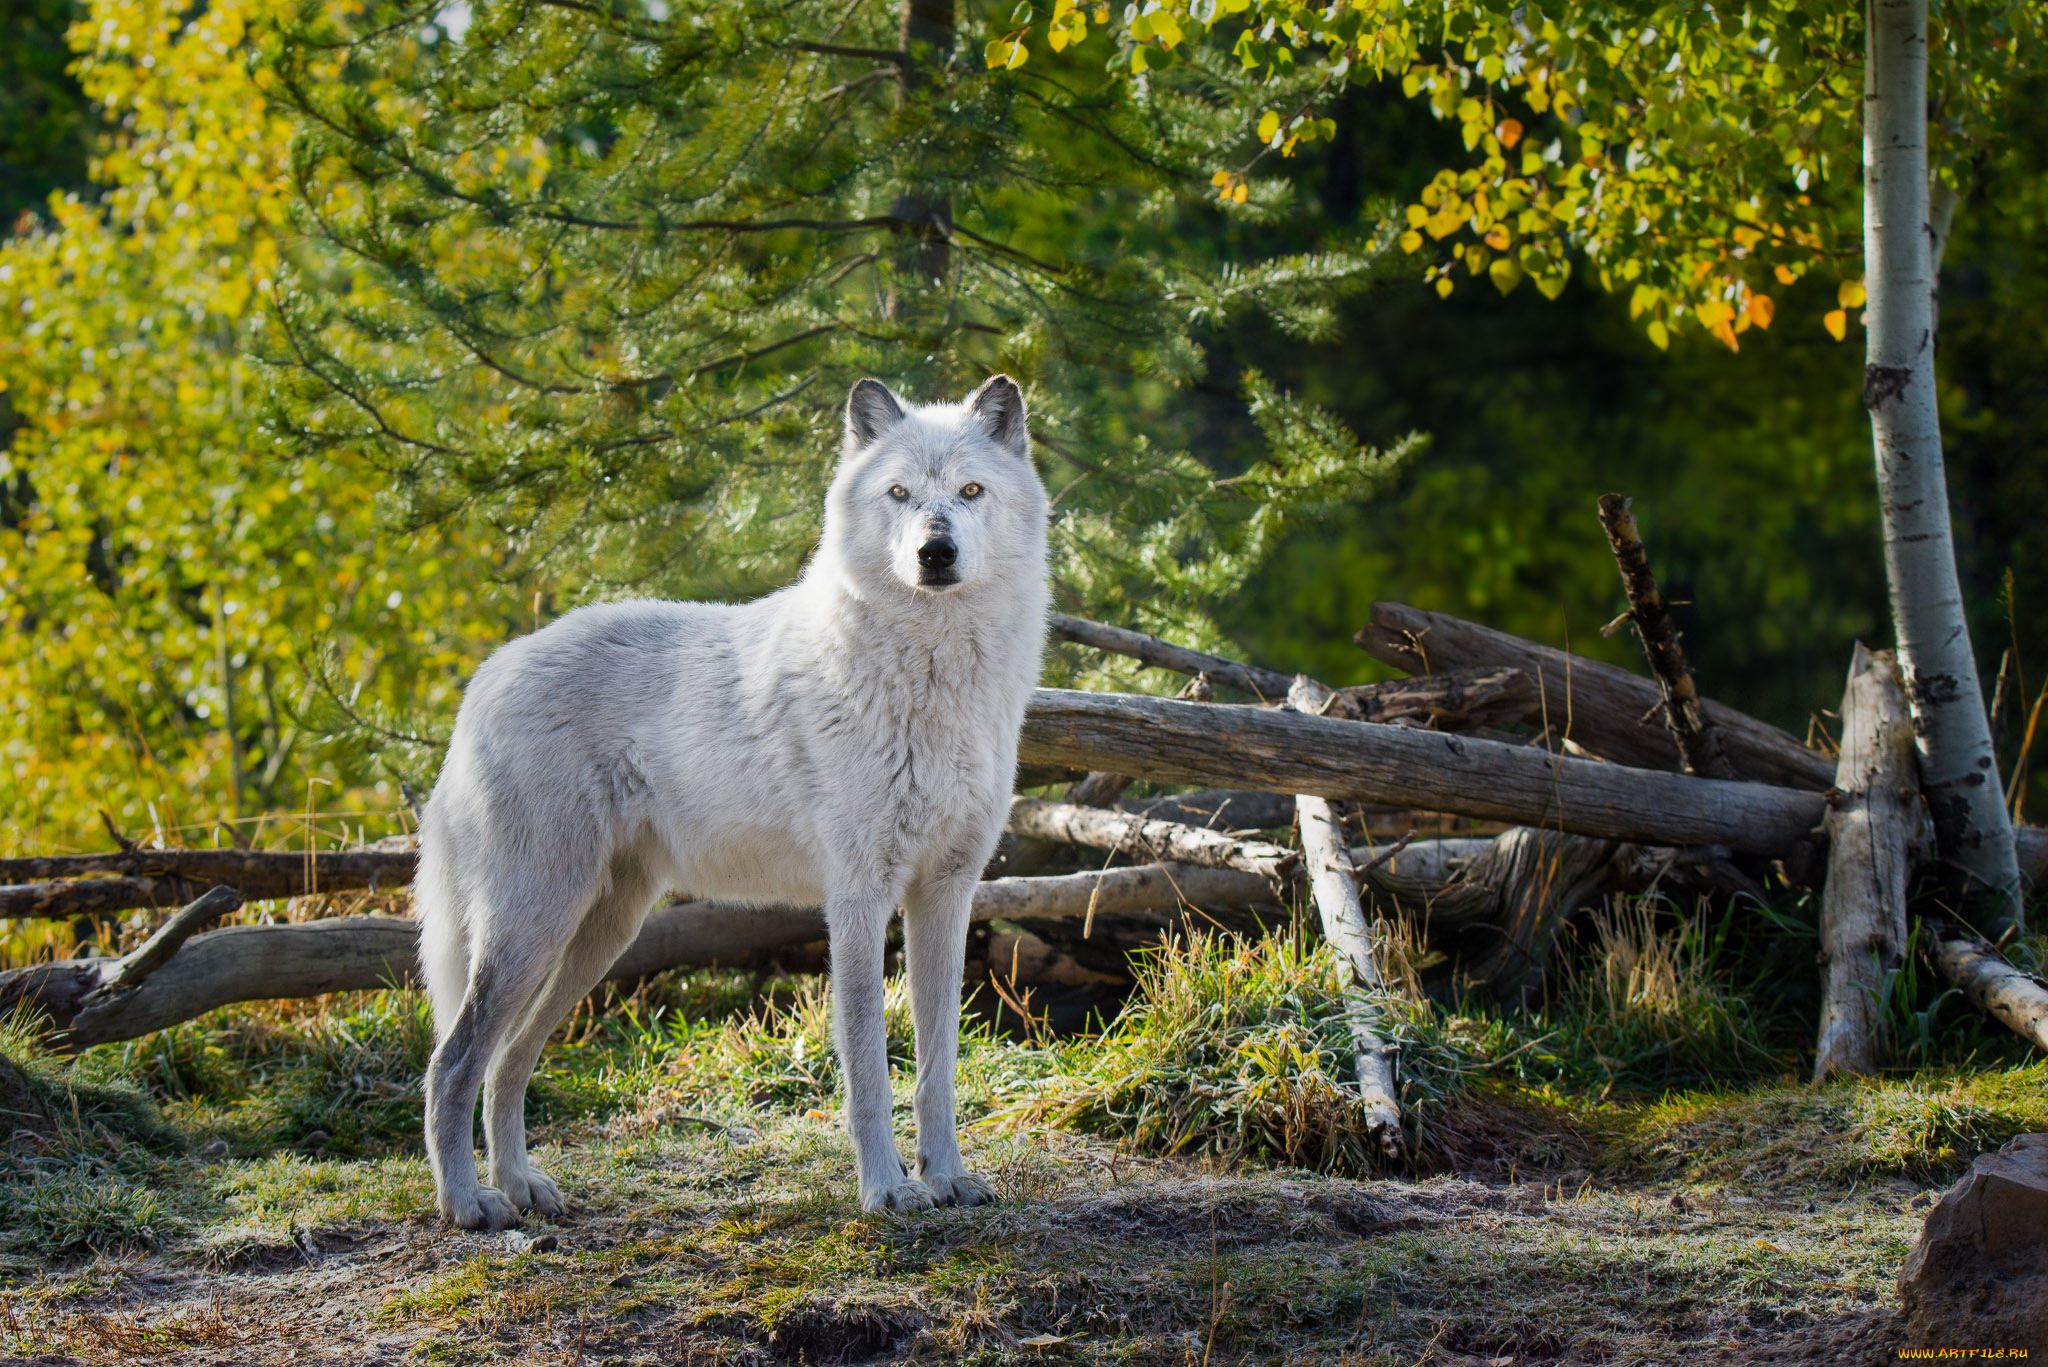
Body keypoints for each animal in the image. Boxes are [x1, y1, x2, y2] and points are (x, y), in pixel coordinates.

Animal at [417, 370, 1056, 1229]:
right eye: (898, 492)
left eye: (970, 491)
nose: (935, 551)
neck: (932, 680)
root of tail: (484, 676)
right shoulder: (857, 898)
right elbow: (868, 1069)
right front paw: (887, 1190)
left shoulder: (946, 895)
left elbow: (937, 1068)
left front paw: (948, 1177)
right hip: (535, 922)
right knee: (451, 1063)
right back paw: (467, 1203)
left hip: (594, 934)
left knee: (506, 1063)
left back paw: (522, 1187)